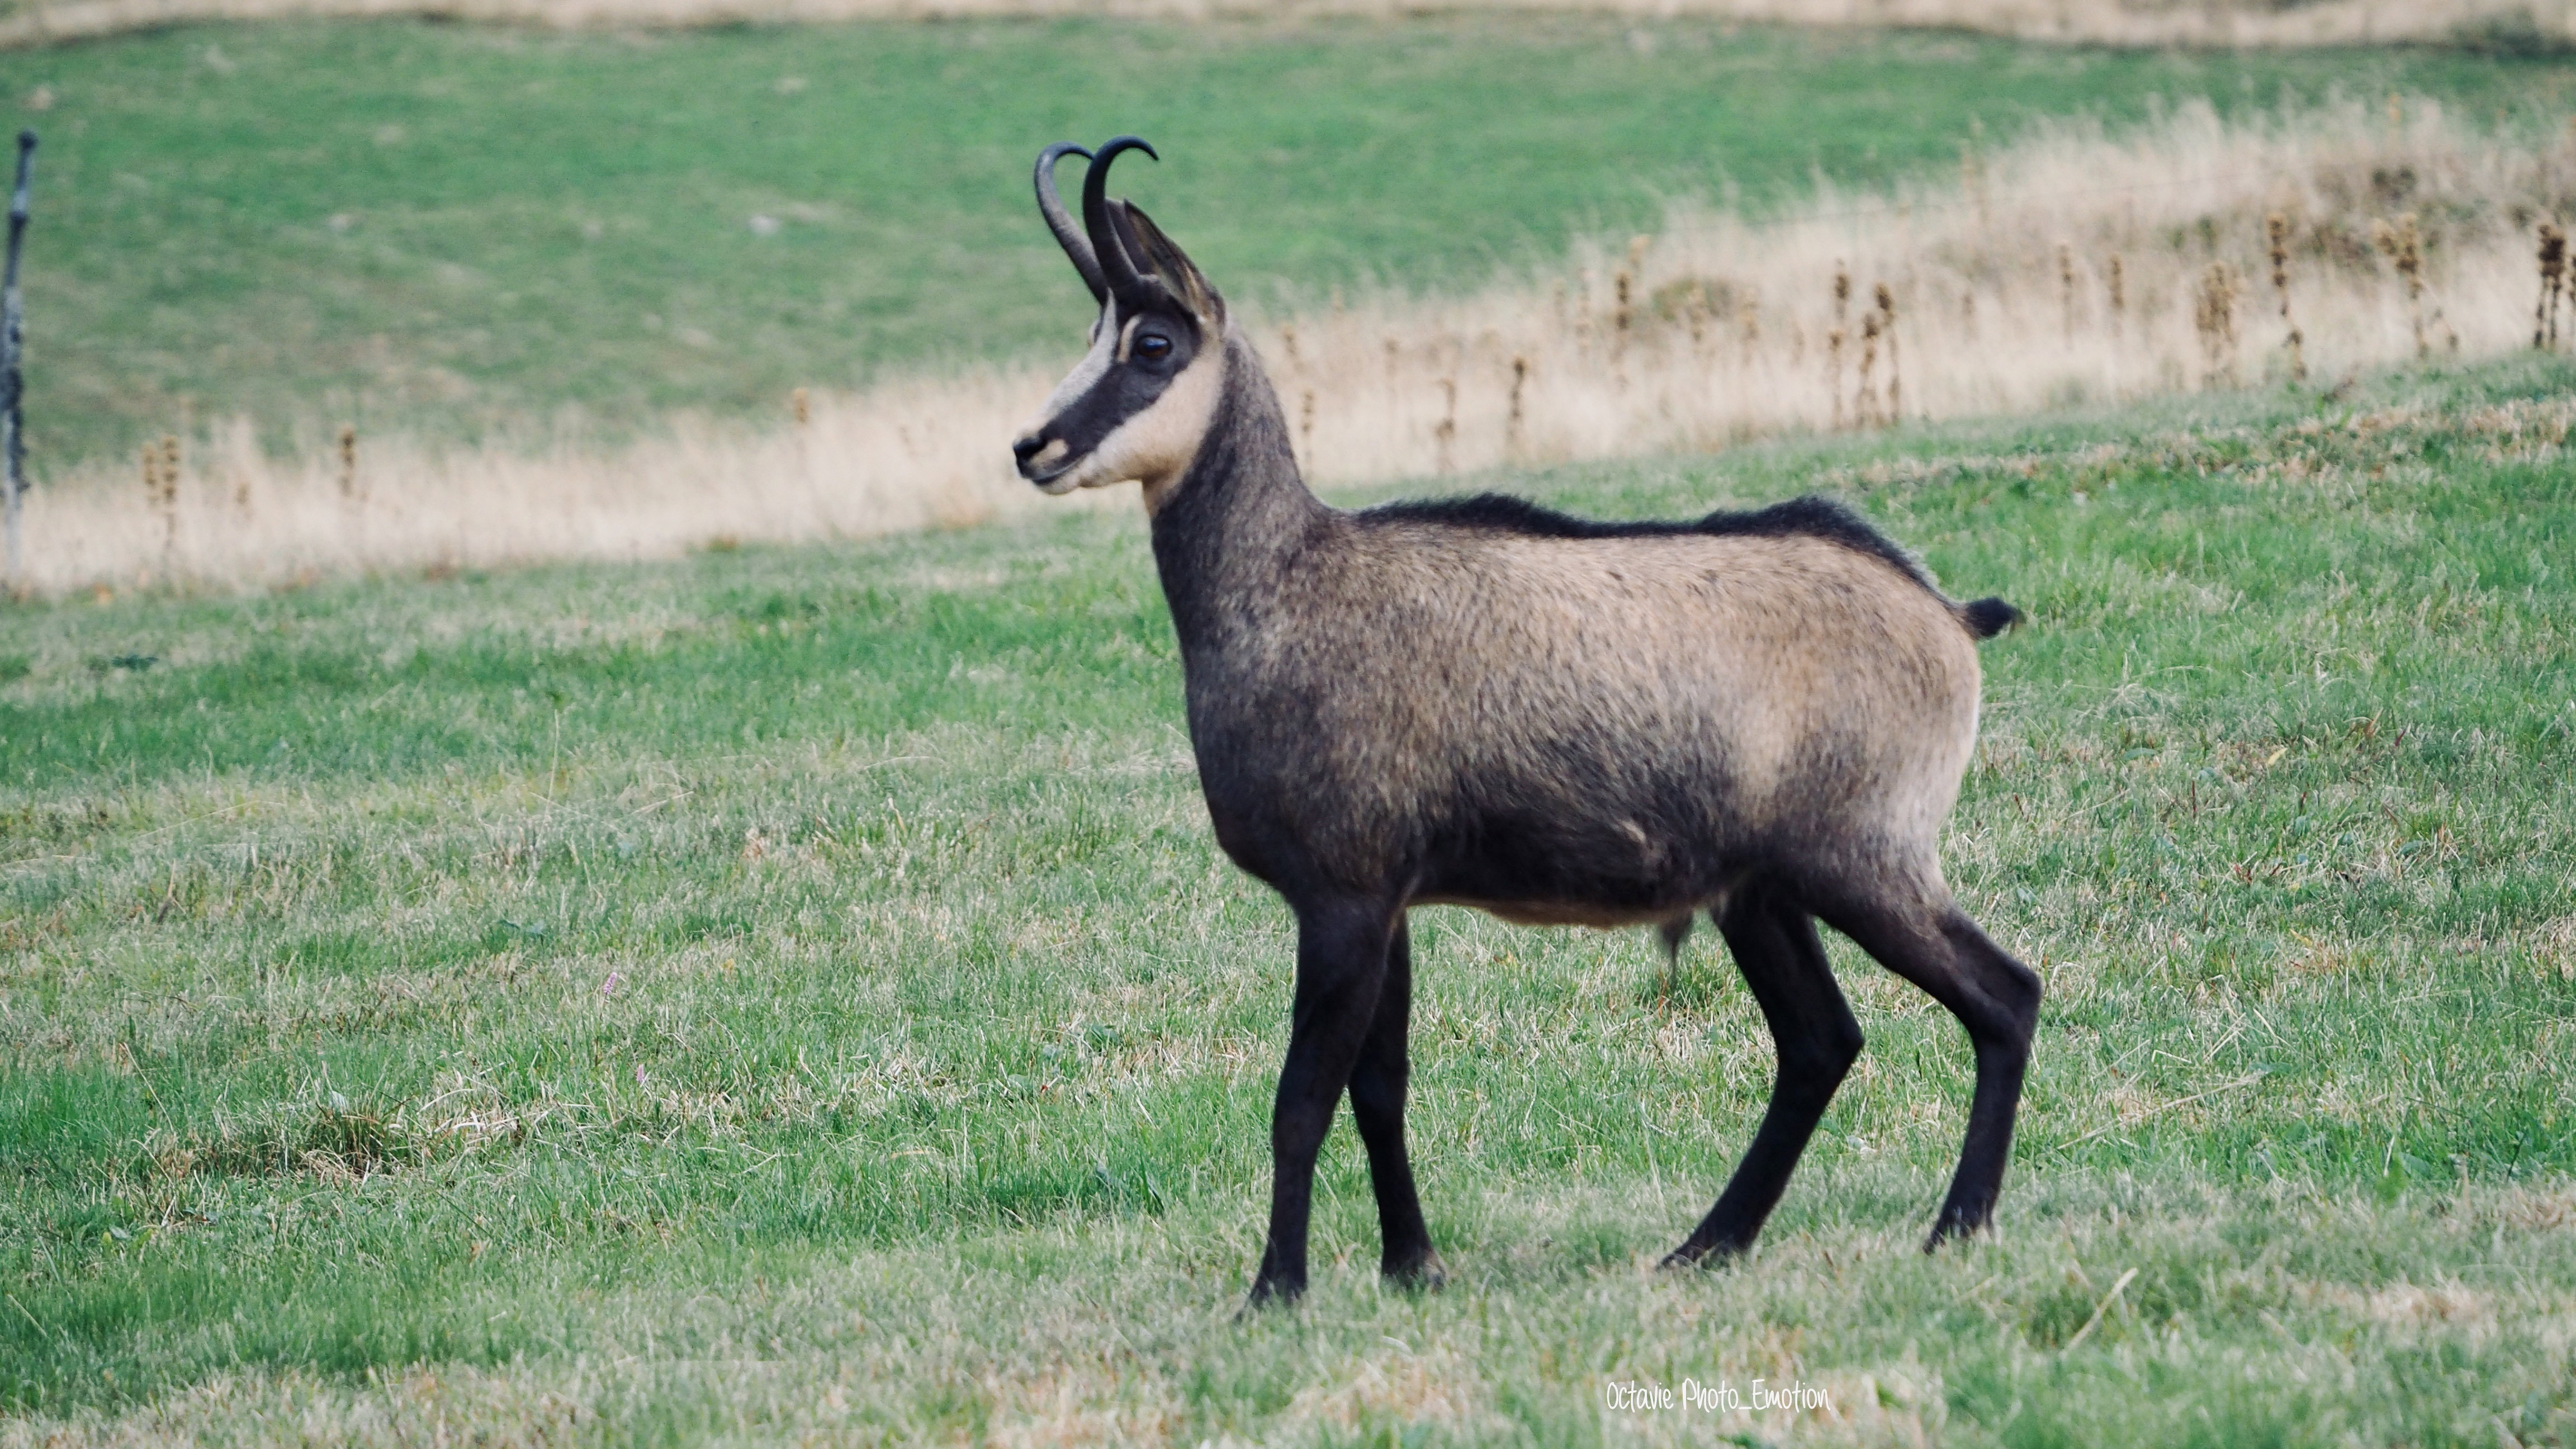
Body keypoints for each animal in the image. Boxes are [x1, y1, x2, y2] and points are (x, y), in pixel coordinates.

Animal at [1012, 138, 2040, 1307]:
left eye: (1151, 341)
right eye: (1090, 336)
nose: (1032, 446)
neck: (1285, 587)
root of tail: (1944, 614)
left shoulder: (1342, 892)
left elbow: (1301, 1100)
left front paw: (1275, 1288)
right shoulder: (1387, 901)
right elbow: (1380, 1088)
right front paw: (1412, 1265)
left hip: (1862, 858)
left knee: (2001, 997)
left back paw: (1954, 1225)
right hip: (1760, 890)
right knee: (1821, 1041)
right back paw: (1705, 1245)